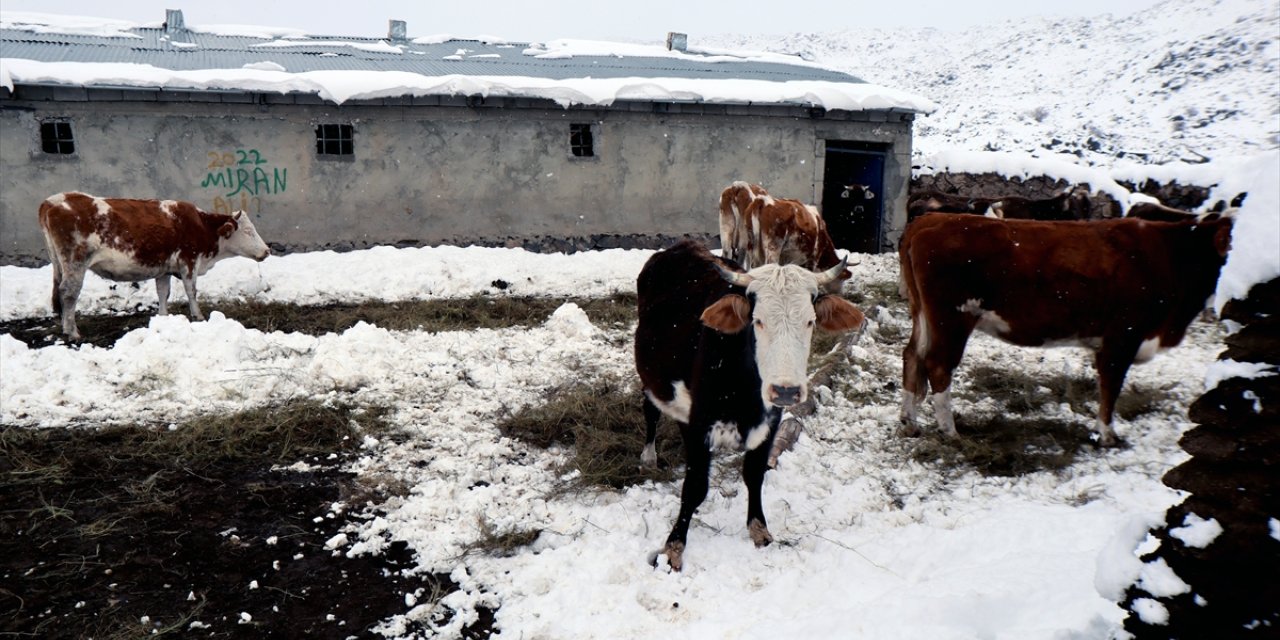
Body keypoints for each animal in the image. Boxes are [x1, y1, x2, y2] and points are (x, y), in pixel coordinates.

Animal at [40, 190, 270, 337]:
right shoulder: (189, 261)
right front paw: (198, 316)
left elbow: (163, 292)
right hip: (76, 263)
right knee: (69, 293)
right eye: (248, 231)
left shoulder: (164, 269)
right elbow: (192, 291)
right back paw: (73, 332)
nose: (267, 251)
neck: (202, 227)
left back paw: (66, 328)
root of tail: (52, 200)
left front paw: (163, 317)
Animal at [634, 240, 865, 570]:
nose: (786, 390)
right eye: (758, 321)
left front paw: (759, 529)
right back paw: (649, 456)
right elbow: (695, 487)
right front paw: (673, 548)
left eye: (810, 321)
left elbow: (755, 475)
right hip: (651, 380)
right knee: (651, 410)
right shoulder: (701, 422)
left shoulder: (770, 421)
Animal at [896, 209, 1233, 445]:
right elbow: (1111, 387)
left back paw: (910, 423)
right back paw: (950, 432)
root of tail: (930, 220)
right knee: (938, 365)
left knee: (913, 355)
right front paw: (1107, 436)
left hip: (924, 314)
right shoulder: (1123, 336)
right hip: (953, 318)